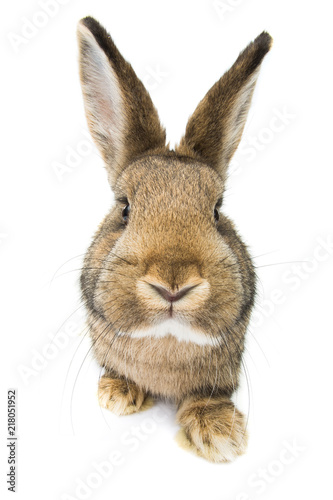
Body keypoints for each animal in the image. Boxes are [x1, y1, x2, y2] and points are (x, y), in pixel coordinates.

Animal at [76, 14, 272, 460]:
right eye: (125, 208)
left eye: (216, 211)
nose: (172, 284)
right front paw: (118, 394)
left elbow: (207, 396)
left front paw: (221, 435)